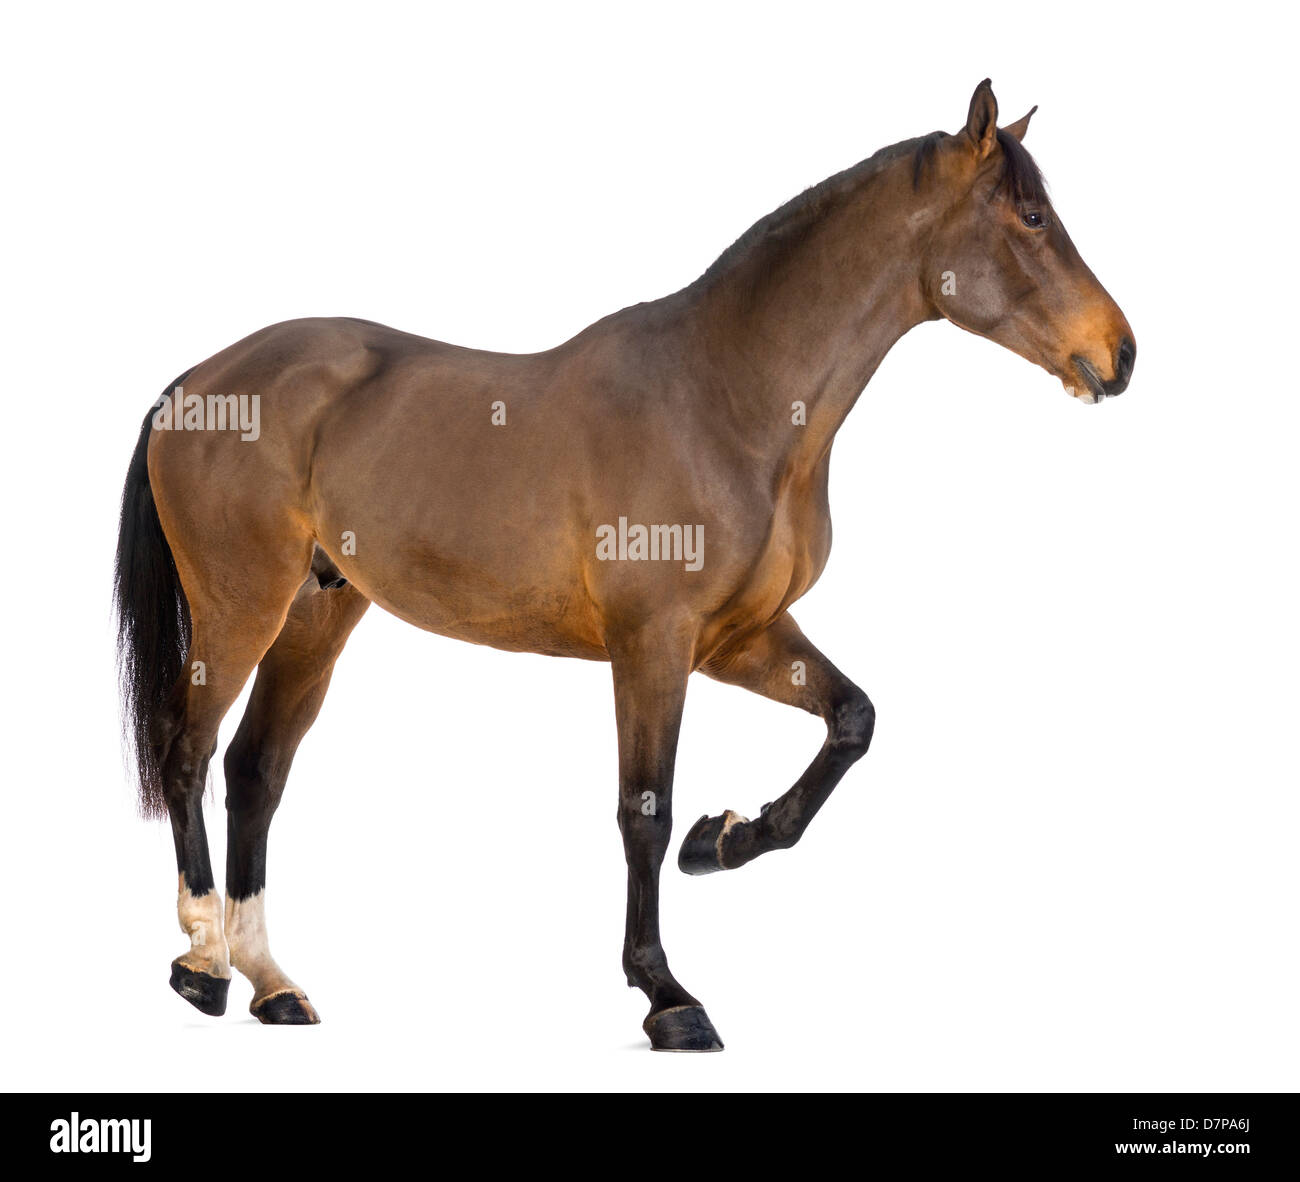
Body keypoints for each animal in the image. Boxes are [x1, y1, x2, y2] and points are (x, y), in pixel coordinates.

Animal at [114, 78, 1138, 1045]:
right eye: (1031, 218)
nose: (1119, 353)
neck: (723, 400)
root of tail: (199, 381)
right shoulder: (653, 642)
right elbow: (642, 807)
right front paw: (668, 996)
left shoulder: (738, 638)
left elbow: (852, 721)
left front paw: (725, 839)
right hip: (241, 608)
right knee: (188, 750)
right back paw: (202, 963)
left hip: (319, 613)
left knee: (256, 771)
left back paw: (273, 985)